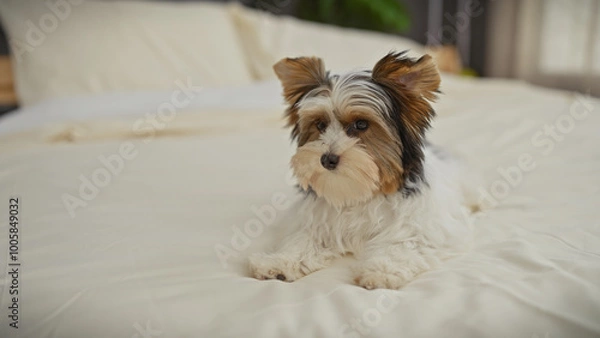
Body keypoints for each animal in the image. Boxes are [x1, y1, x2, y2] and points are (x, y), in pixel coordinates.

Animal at [248, 51, 478, 290]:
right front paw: (279, 262)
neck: (360, 193)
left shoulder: (427, 229)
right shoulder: (316, 223)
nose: (327, 159)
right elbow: (302, 240)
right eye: (320, 125)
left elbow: (404, 244)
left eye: (361, 124)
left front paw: (381, 271)